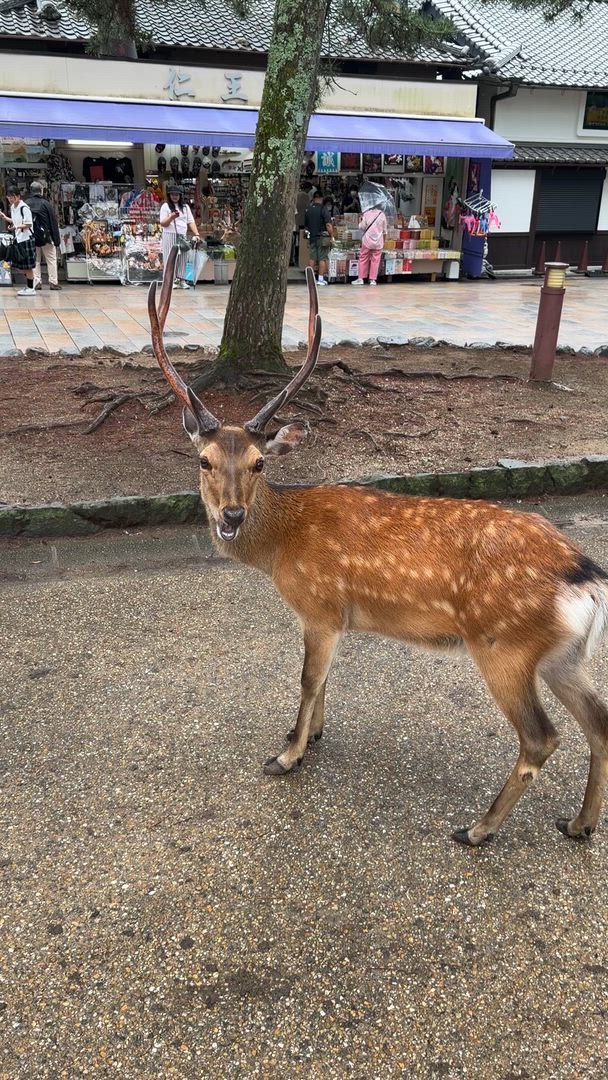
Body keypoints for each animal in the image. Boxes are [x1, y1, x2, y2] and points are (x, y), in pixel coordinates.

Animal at [149, 249, 608, 847]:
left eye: (259, 462)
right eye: (203, 460)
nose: (231, 516)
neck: (282, 546)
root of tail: (588, 578)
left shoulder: (321, 606)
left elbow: (308, 679)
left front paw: (287, 755)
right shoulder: (336, 618)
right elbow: (324, 680)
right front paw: (313, 735)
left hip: (504, 646)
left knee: (541, 737)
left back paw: (477, 829)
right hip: (565, 656)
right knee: (600, 722)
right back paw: (579, 823)